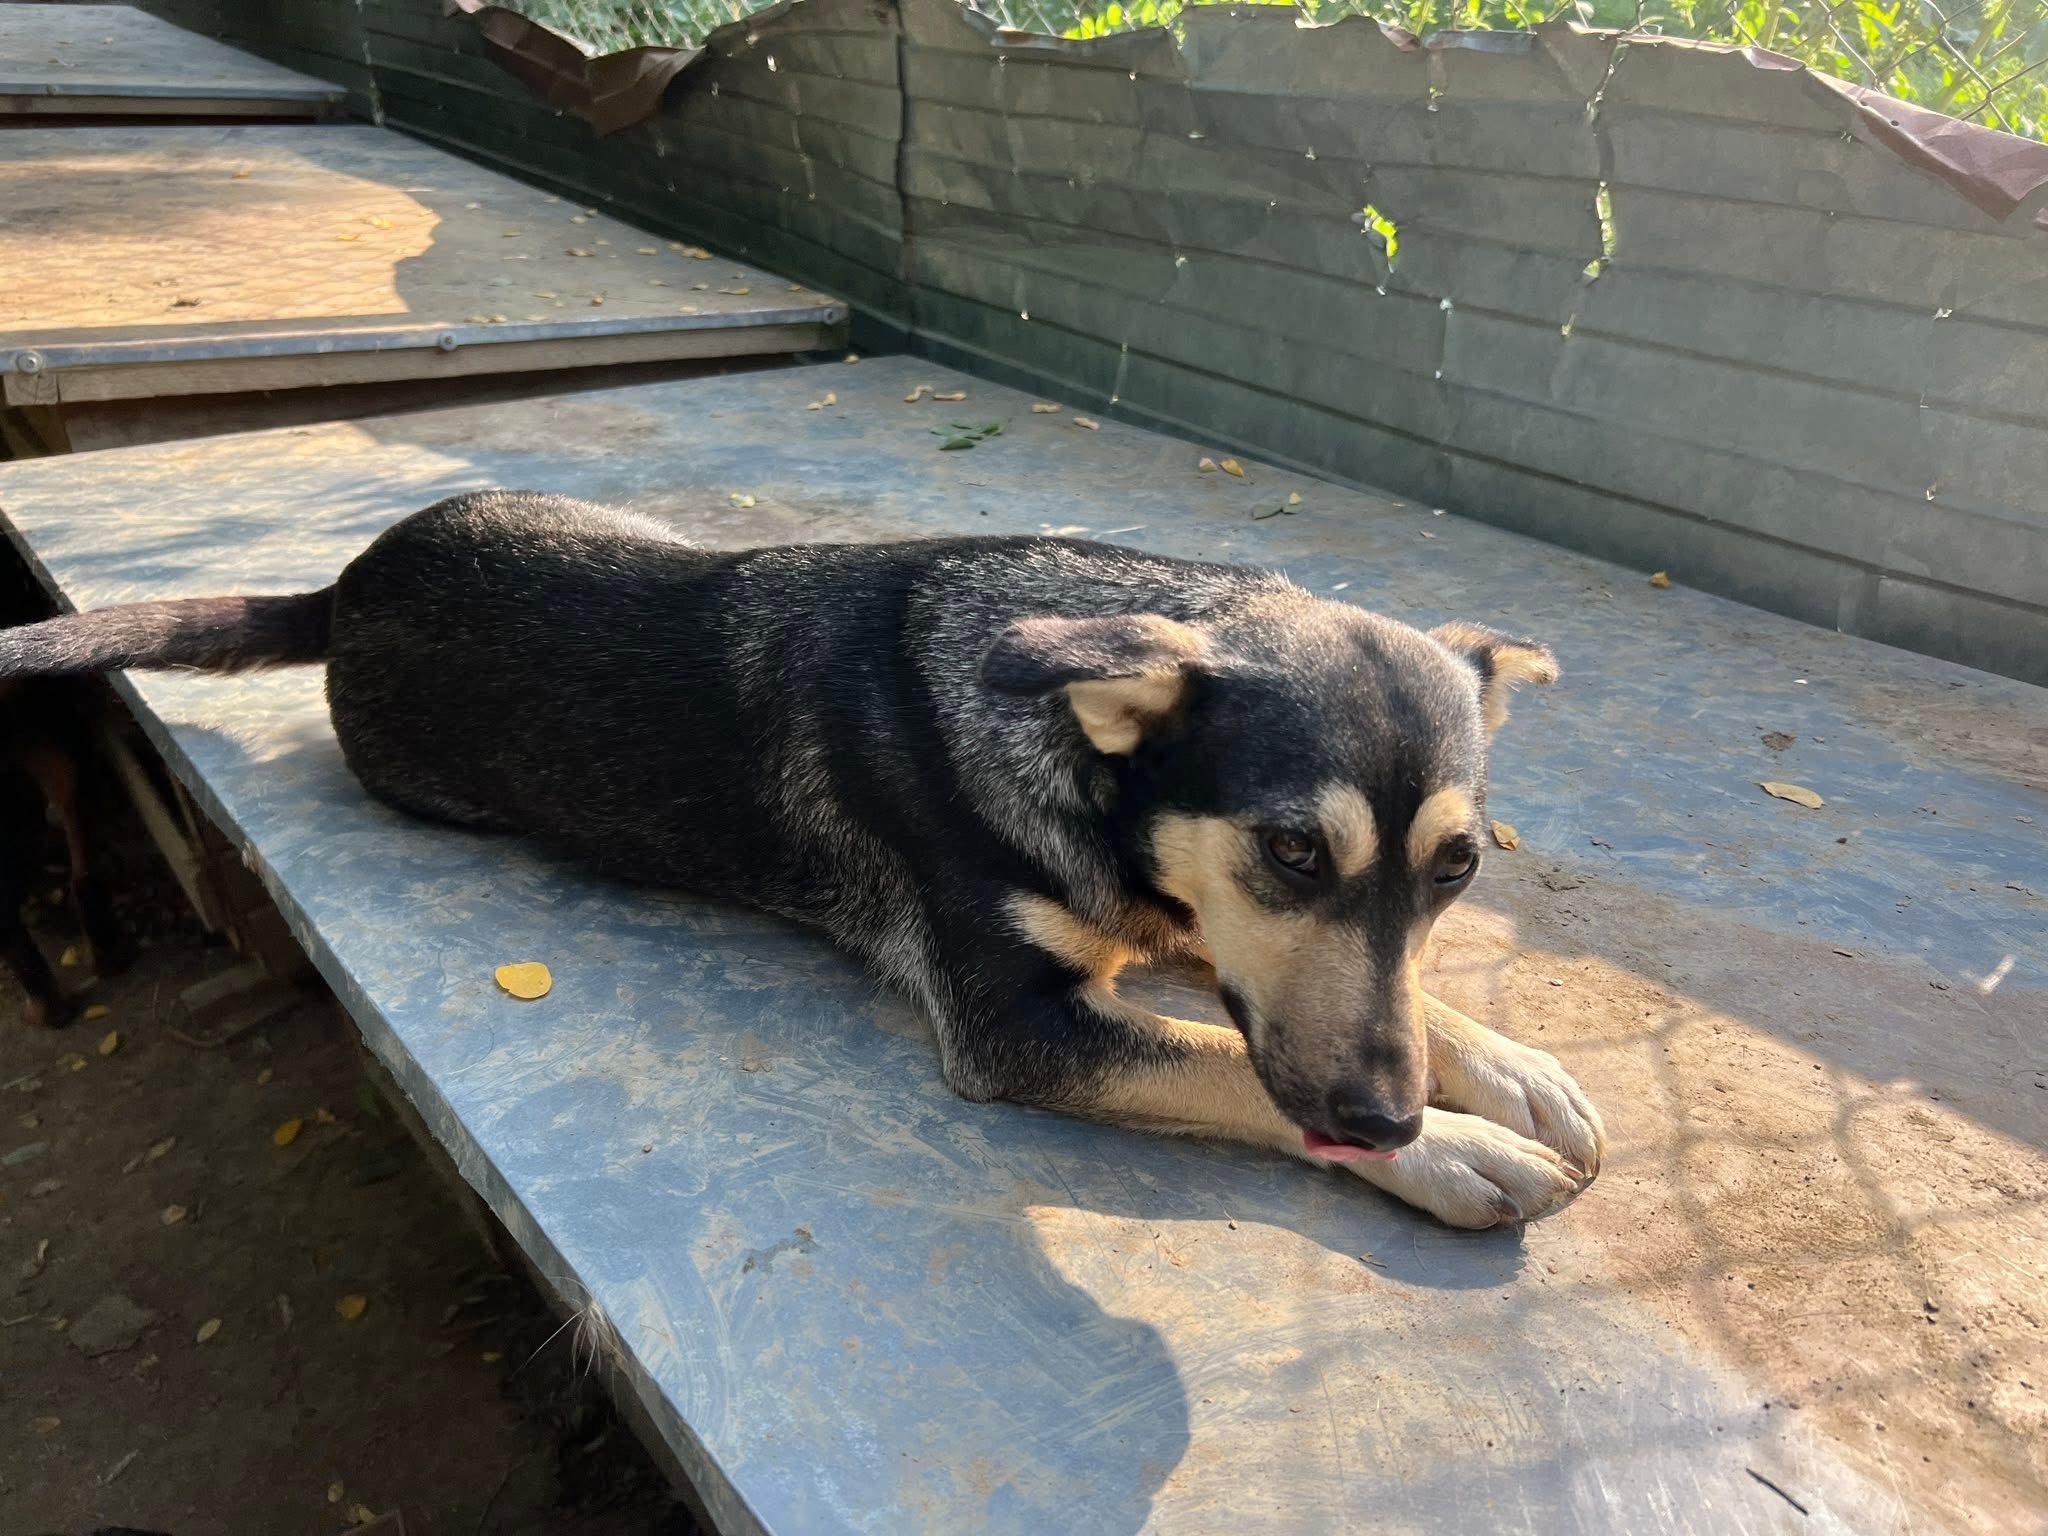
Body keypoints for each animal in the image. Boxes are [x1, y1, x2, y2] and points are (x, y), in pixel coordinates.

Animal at [0, 490, 1603, 1226]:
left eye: (1457, 872)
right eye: (1288, 850)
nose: (1384, 1120)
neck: (1064, 746)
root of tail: (340, 585)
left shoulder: (1179, 914)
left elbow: (1340, 1000)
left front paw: (1508, 1071)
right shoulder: (1019, 1029)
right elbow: (1225, 1064)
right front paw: (1456, 1151)